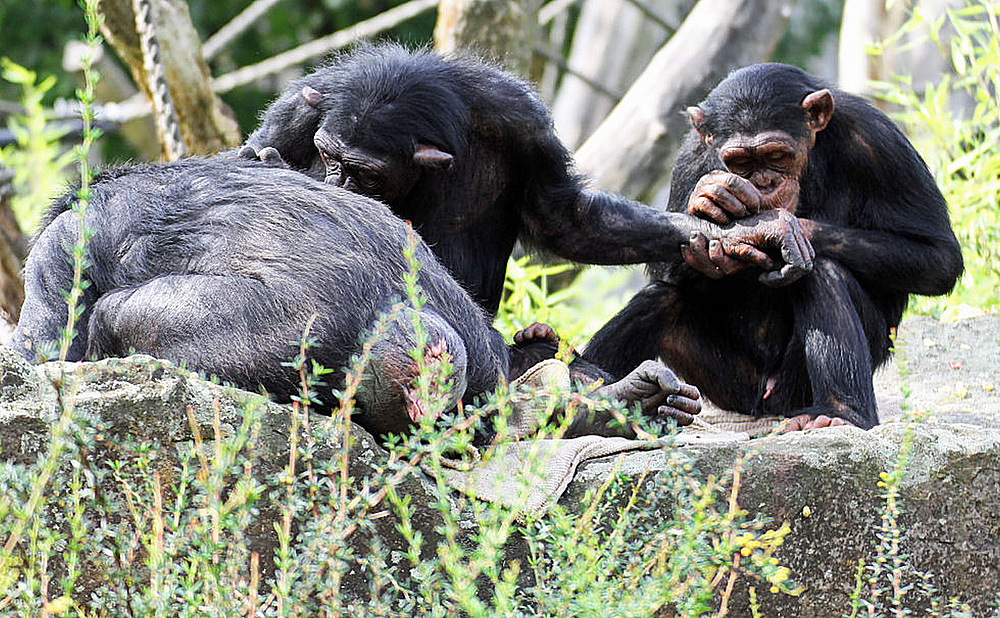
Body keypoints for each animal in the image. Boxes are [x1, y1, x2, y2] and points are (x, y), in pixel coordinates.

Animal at [238, 42, 816, 318]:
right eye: (327, 157)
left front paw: (734, 230)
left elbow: (568, 220)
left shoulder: (525, 127)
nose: (341, 188)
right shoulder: (297, 109)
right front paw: (268, 164)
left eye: (365, 173)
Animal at [584, 62, 964, 428]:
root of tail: (764, 408)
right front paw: (709, 200)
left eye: (777, 155)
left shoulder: (878, 140)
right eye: (740, 162)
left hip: (790, 390)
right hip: (731, 387)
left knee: (822, 272)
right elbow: (664, 265)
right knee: (662, 298)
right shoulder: (691, 154)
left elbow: (937, 256)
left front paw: (777, 226)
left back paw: (841, 412)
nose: (764, 182)